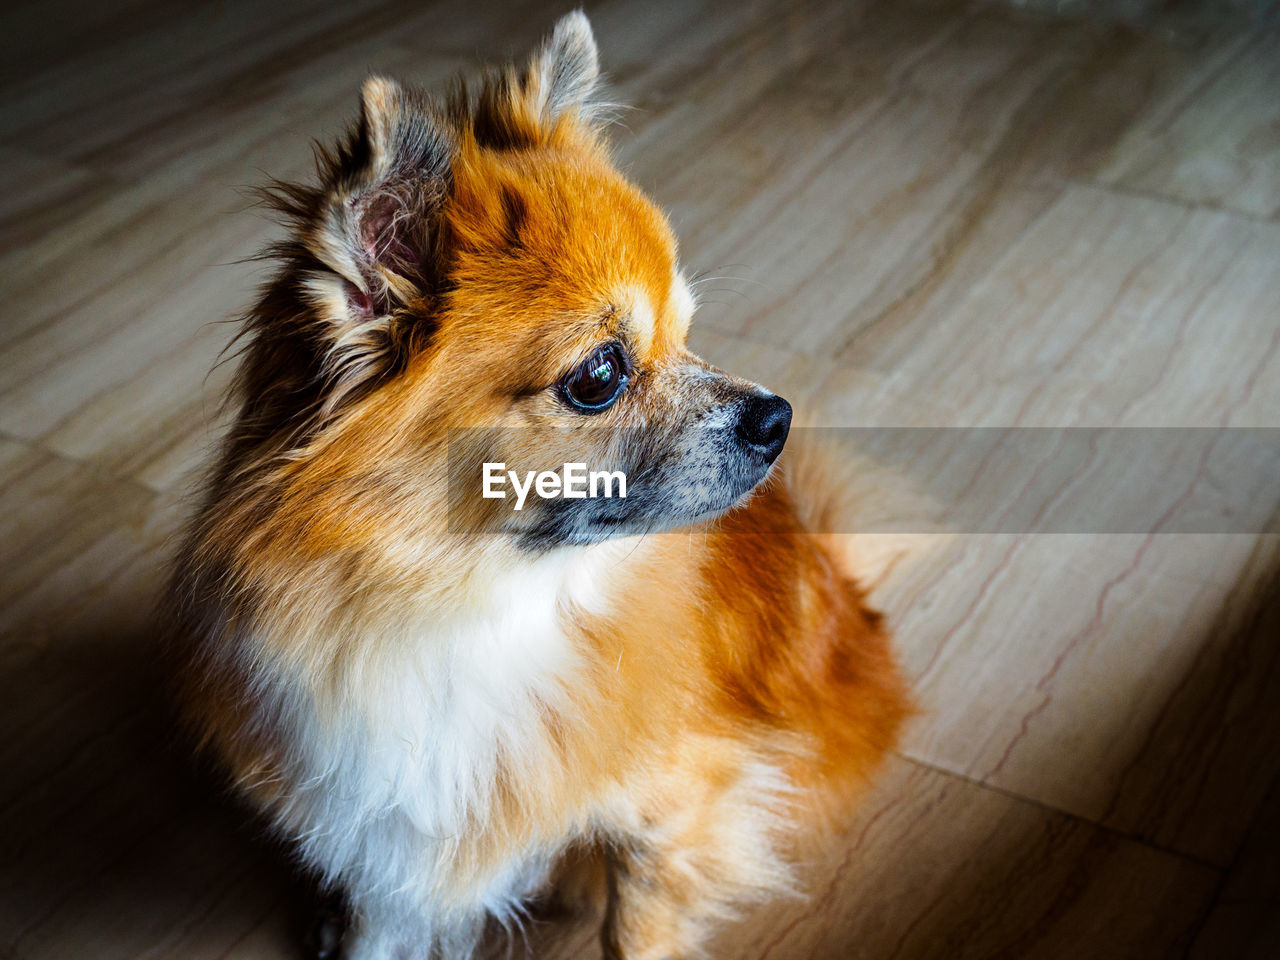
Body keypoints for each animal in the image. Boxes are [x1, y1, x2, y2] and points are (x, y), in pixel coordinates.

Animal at [167, 13, 911, 960]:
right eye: (599, 376)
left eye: (688, 334)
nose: (775, 418)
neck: (468, 607)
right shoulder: (385, 842)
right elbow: (381, 926)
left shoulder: (677, 812)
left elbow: (635, 932)